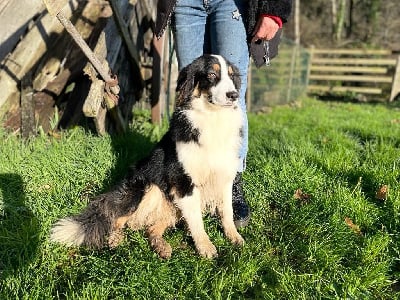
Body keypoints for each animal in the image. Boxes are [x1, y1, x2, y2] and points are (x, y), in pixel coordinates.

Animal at [50, 55, 244, 258]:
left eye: (232, 76)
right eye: (212, 74)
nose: (233, 95)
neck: (213, 117)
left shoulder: (224, 177)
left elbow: (227, 211)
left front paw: (234, 237)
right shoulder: (183, 180)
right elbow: (197, 221)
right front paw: (206, 248)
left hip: (170, 205)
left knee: (150, 229)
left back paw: (161, 247)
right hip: (146, 187)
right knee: (117, 218)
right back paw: (115, 239)